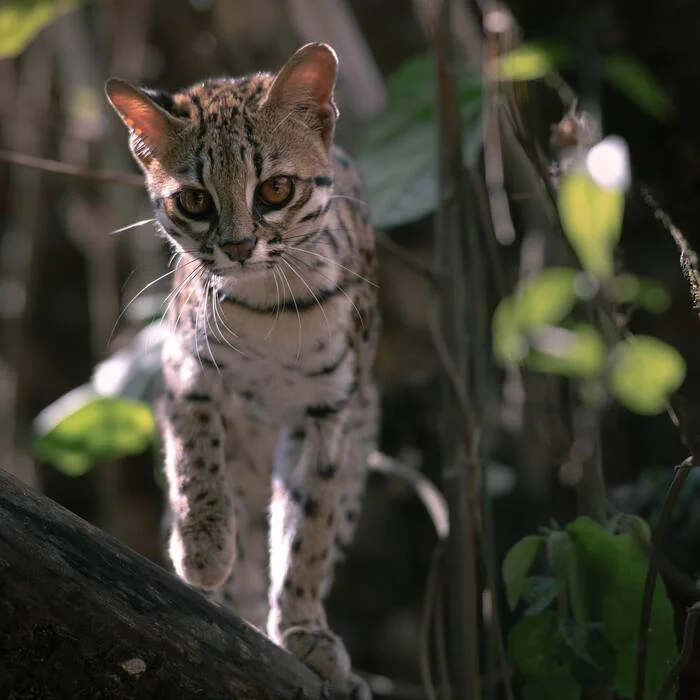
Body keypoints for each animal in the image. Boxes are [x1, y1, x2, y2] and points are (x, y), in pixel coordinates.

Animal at [105, 45, 378, 696]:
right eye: (194, 200)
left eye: (276, 189)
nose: (235, 247)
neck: (267, 307)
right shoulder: (184, 367)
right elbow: (196, 458)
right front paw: (204, 548)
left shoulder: (329, 413)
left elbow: (311, 526)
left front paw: (303, 625)